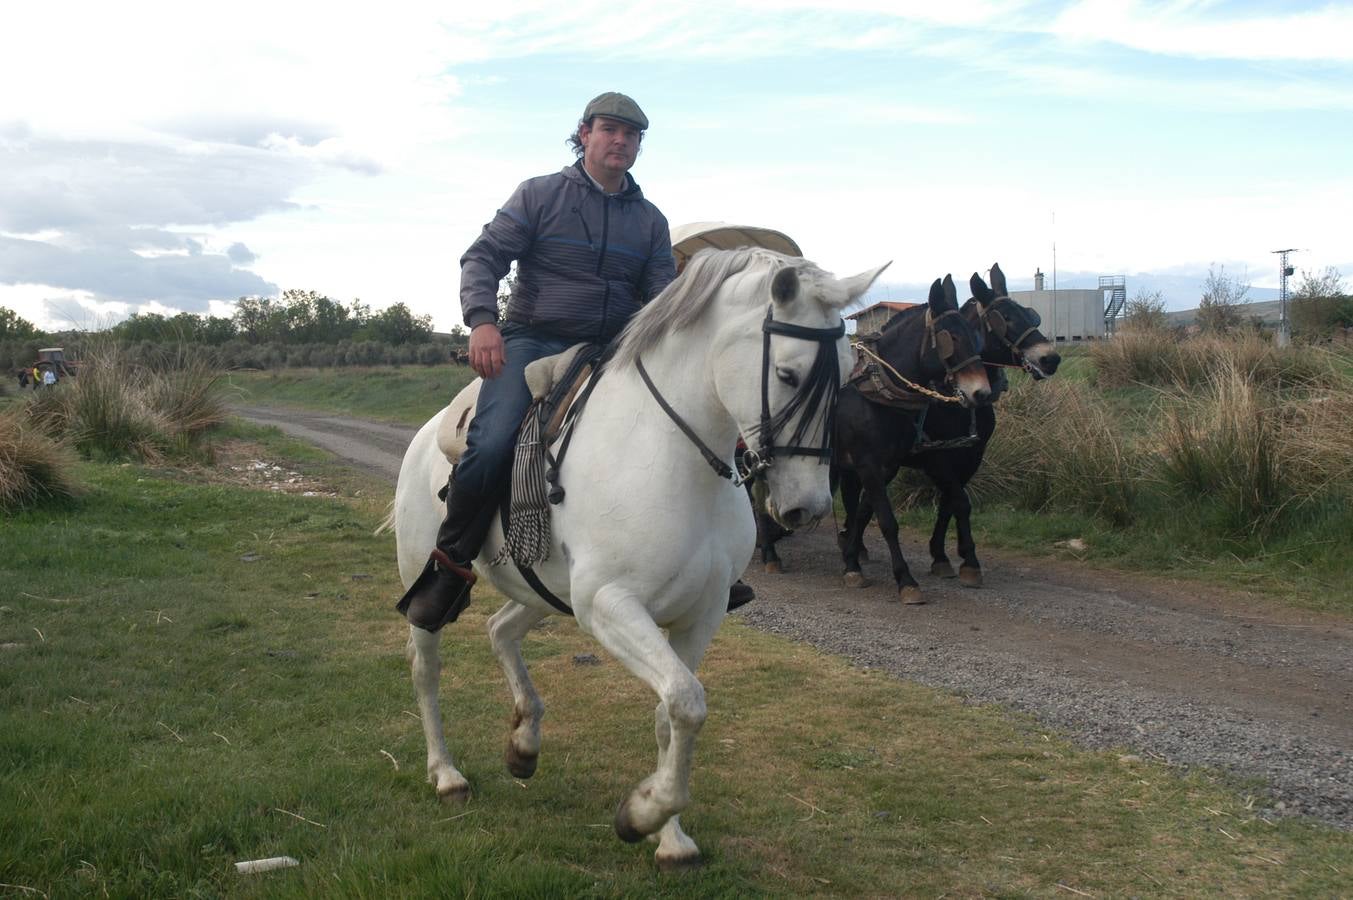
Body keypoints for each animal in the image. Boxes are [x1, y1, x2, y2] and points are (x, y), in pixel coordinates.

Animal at [389, 246, 887, 866]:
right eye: (787, 374)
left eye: (845, 375)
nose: (808, 507)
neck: (672, 454)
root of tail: (428, 432)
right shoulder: (611, 605)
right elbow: (687, 702)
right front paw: (641, 815)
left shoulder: (700, 613)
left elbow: (671, 713)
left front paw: (669, 839)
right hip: (434, 581)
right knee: (426, 667)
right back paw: (447, 774)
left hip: (546, 593)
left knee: (500, 630)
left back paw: (524, 743)